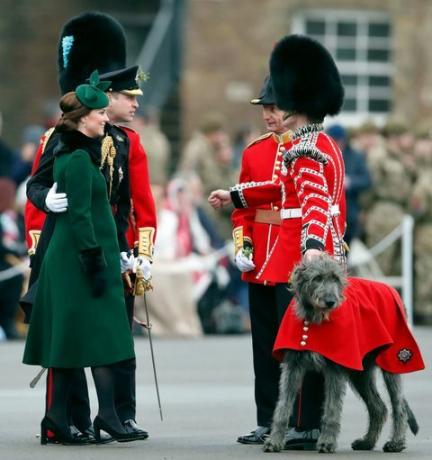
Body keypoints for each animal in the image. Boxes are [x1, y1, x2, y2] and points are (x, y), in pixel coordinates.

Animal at [264, 253, 418, 454]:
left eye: (335, 278)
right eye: (317, 278)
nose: (331, 301)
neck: (314, 318)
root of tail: (391, 290)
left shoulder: (335, 368)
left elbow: (332, 409)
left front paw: (327, 442)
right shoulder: (293, 366)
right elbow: (282, 406)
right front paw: (274, 440)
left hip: (392, 361)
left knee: (398, 405)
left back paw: (396, 442)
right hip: (360, 372)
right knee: (379, 408)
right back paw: (367, 442)